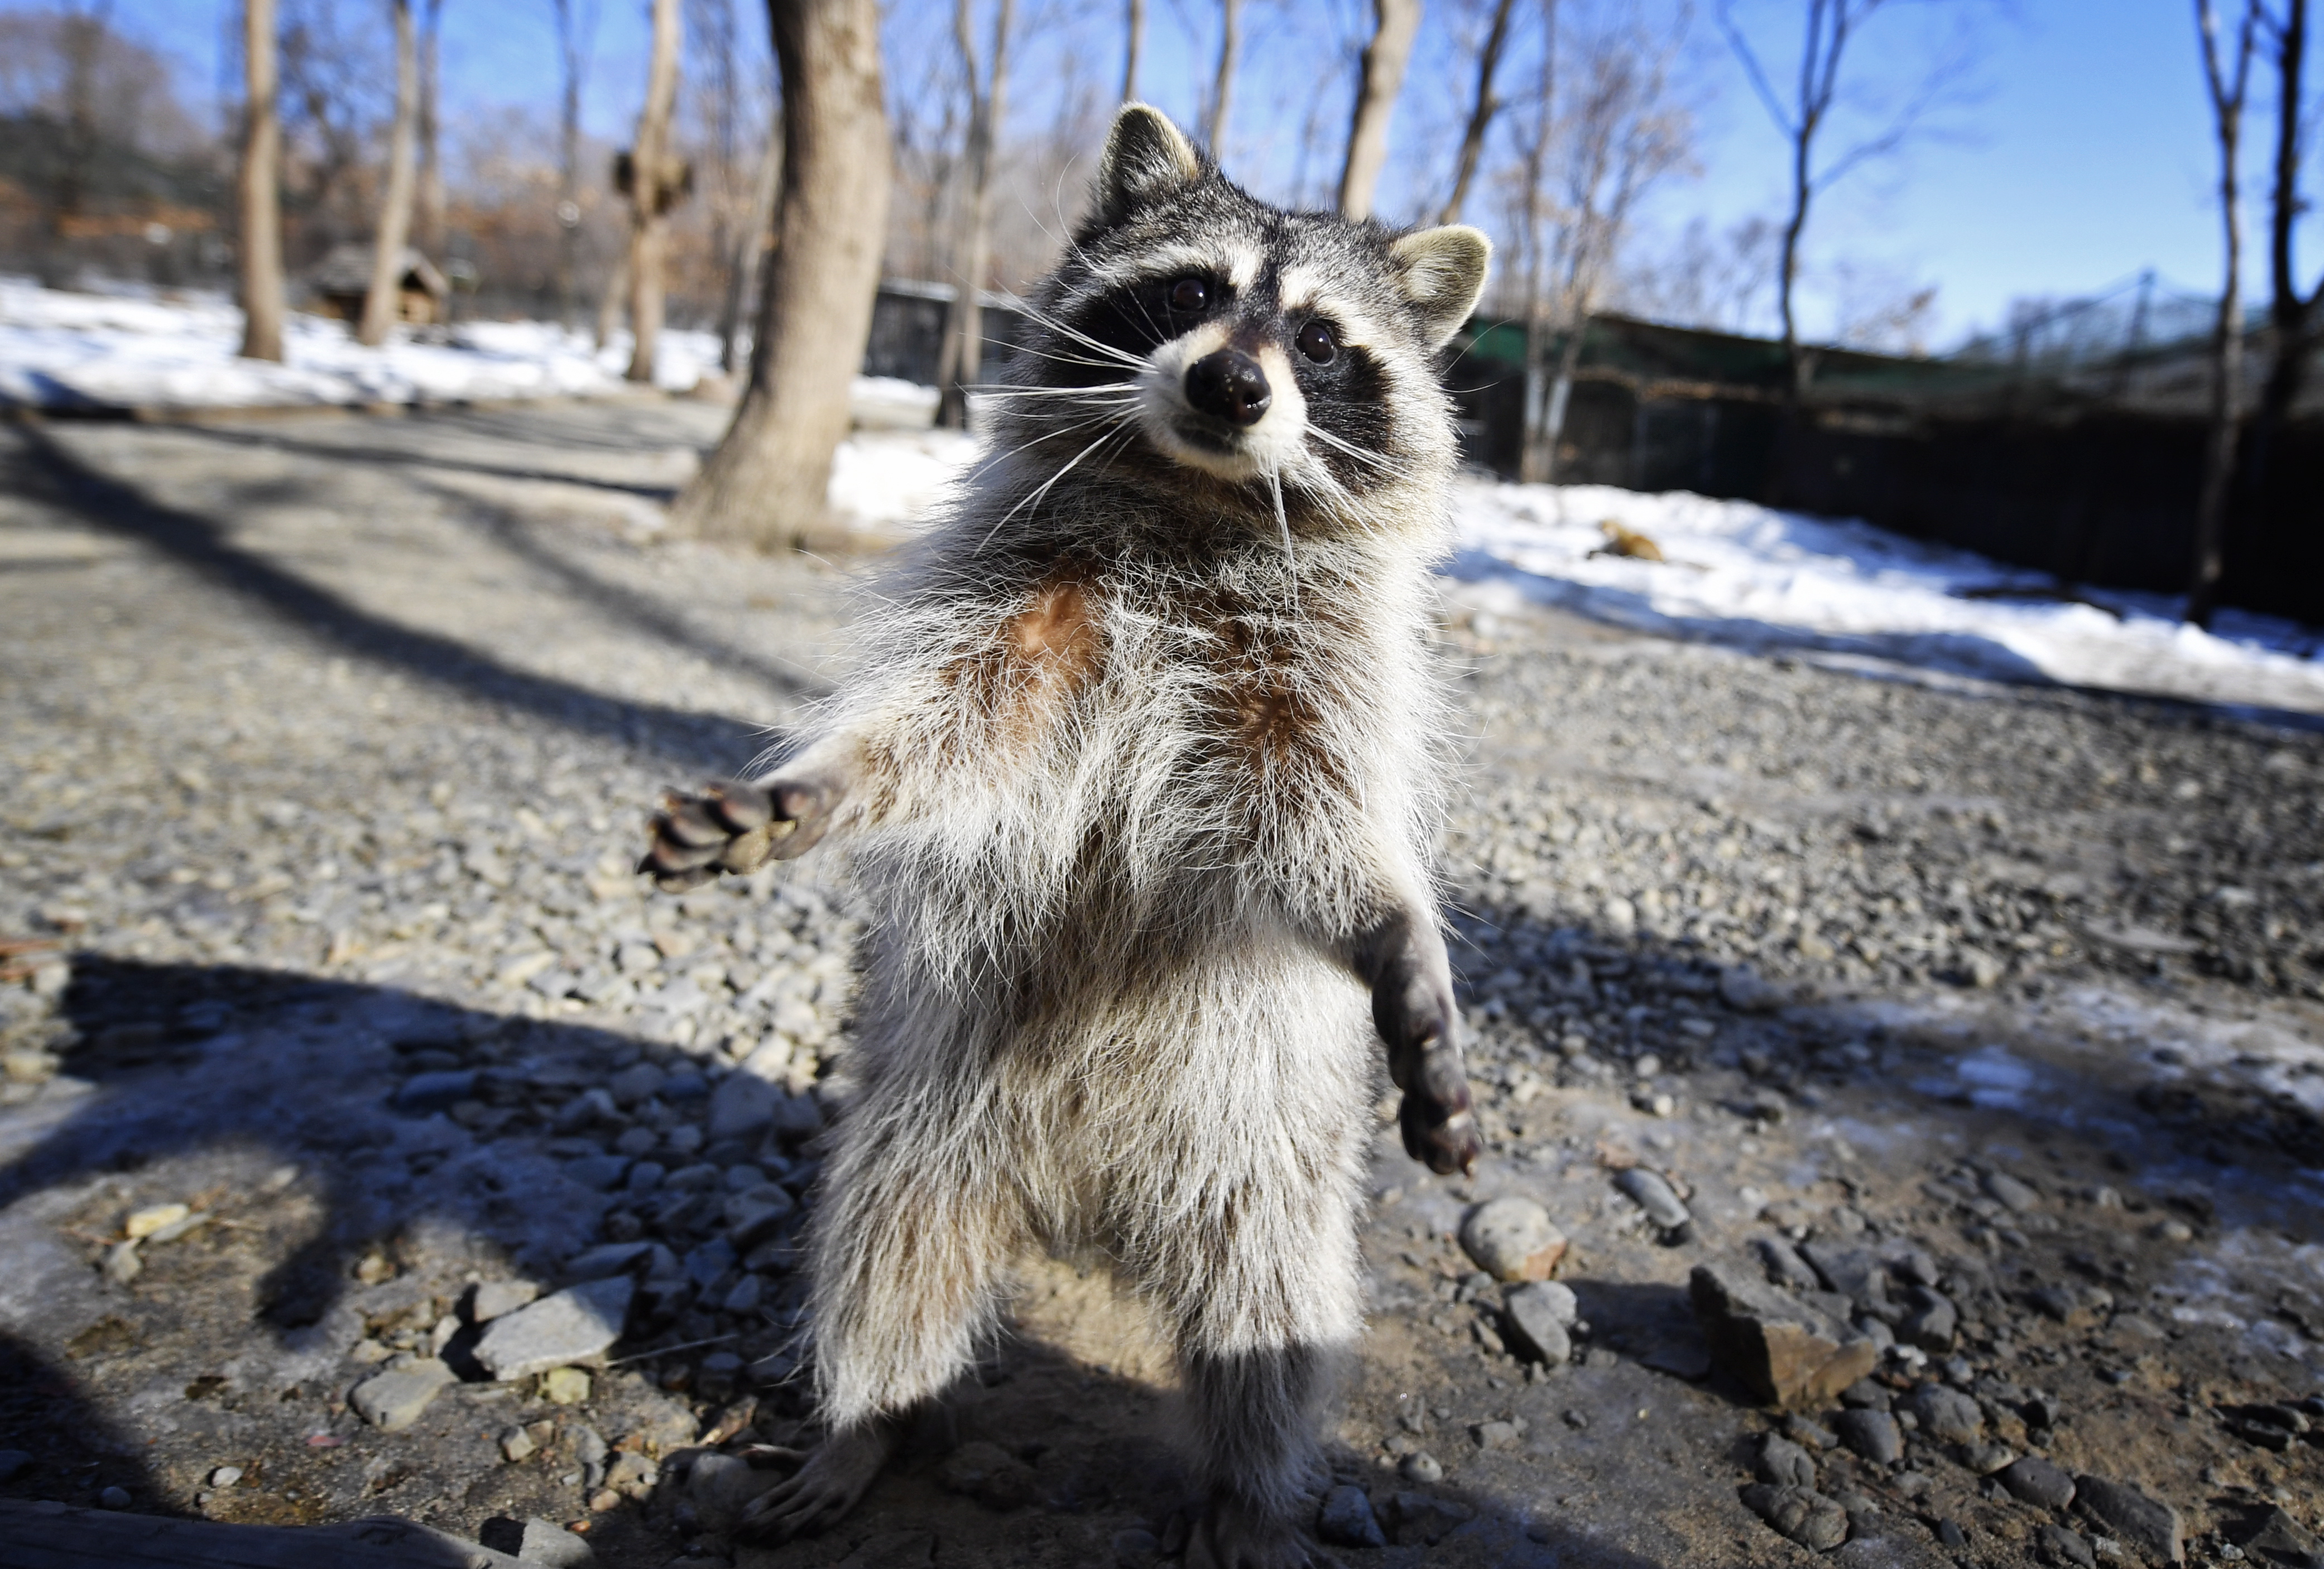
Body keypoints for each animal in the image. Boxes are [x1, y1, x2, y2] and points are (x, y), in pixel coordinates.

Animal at [641, 107, 1487, 1569]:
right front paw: (817, 788)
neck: (1196, 505)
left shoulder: (1310, 689)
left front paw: (1398, 939)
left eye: (1321, 340)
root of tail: (1083, 1201)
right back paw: (861, 1424)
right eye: (1192, 293)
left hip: (1262, 1153)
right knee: (881, 1256)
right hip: (928, 1112)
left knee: (1271, 1322)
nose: (1231, 385)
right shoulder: (1021, 615)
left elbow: (1317, 849)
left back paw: (1246, 1492)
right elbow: (939, 739)